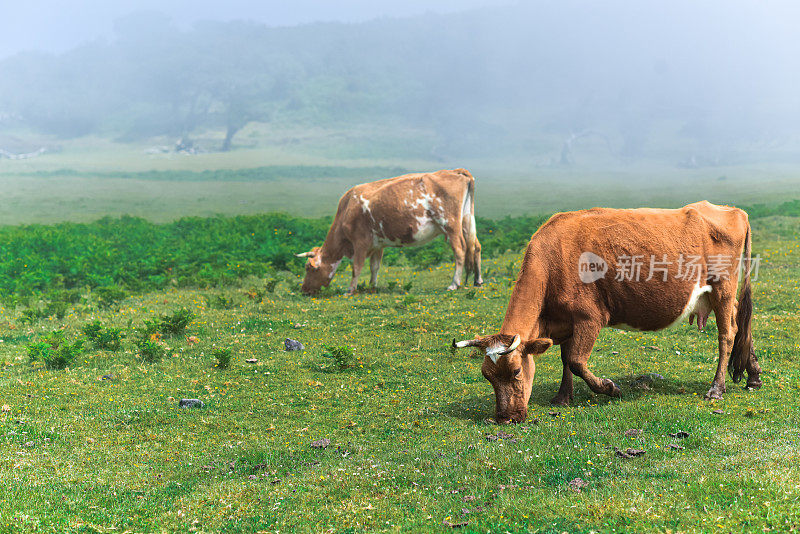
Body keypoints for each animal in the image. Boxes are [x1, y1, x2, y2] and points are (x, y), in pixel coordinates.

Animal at [294, 170, 482, 296]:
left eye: (309, 268)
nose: (304, 290)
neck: (347, 208)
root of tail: (455, 171)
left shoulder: (360, 242)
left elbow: (356, 267)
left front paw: (350, 290)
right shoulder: (378, 244)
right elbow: (375, 266)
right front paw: (372, 286)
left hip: (450, 225)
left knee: (460, 250)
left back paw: (454, 284)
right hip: (466, 220)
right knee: (476, 247)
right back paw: (477, 281)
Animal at [454, 203, 760, 426]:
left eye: (517, 371)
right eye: (487, 376)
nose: (505, 418)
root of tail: (732, 210)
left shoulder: (589, 318)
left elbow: (576, 361)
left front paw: (610, 388)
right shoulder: (566, 322)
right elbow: (566, 360)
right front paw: (563, 397)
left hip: (723, 288)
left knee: (727, 334)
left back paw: (716, 388)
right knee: (741, 325)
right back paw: (753, 375)